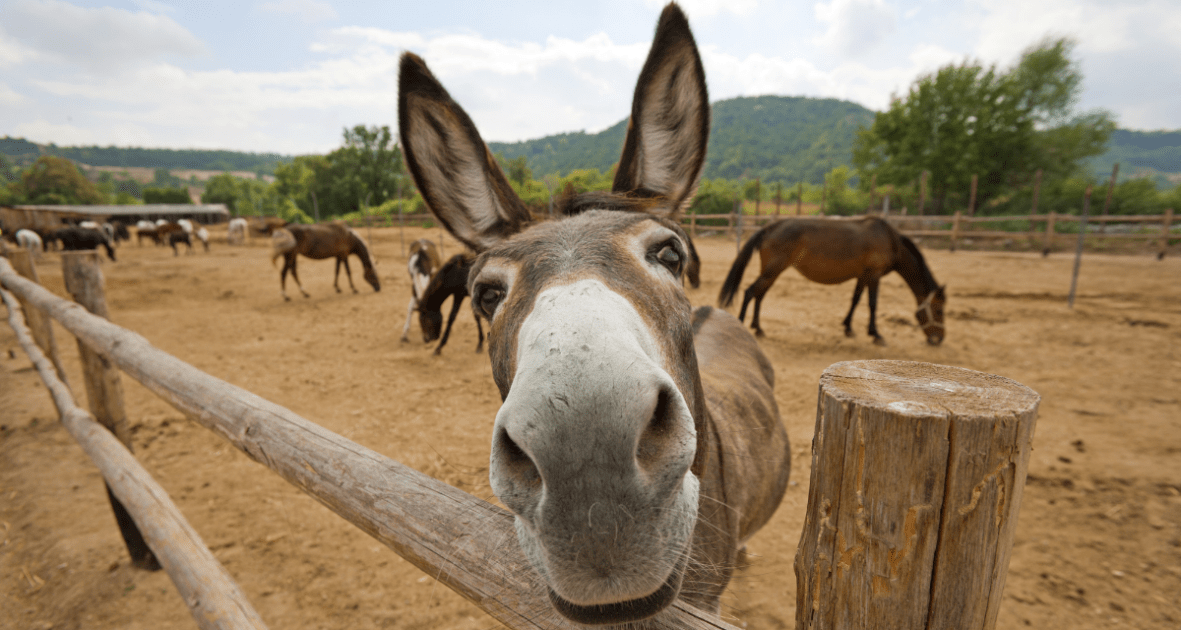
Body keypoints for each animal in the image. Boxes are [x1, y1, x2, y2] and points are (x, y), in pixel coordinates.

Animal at [713, 215, 944, 342]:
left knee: (759, 294)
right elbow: (872, 304)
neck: (889, 239)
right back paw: (743, 326)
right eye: (939, 310)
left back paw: (758, 328)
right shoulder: (874, 275)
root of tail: (770, 227)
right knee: (750, 292)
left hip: (772, 272)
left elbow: (855, 300)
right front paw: (875, 334)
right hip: (772, 270)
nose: (939, 339)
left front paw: (848, 328)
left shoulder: (863, 276)